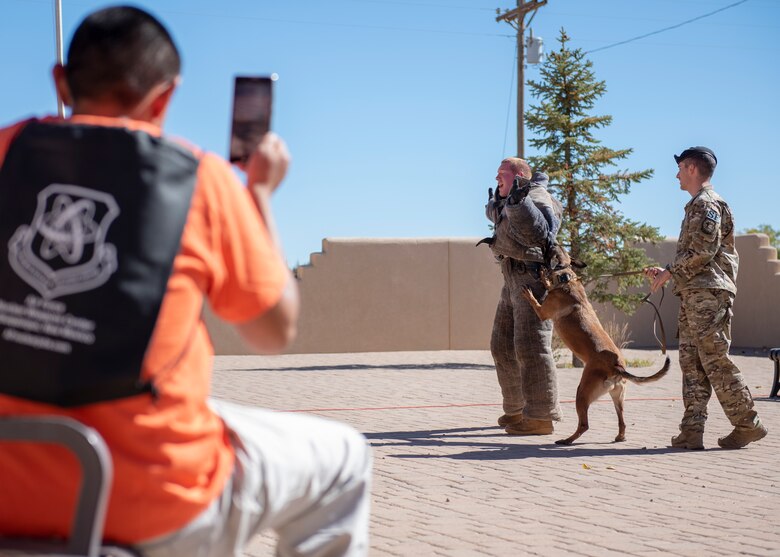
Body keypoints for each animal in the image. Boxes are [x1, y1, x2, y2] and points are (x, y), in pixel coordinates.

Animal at [520, 247, 668, 444]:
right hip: (617, 397)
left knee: (584, 425)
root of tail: (617, 366)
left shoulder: (543, 312)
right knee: (622, 422)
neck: (566, 278)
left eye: (551, 248)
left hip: (582, 392)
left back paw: (567, 440)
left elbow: (536, 301)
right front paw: (545, 277)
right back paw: (620, 437)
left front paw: (533, 289)